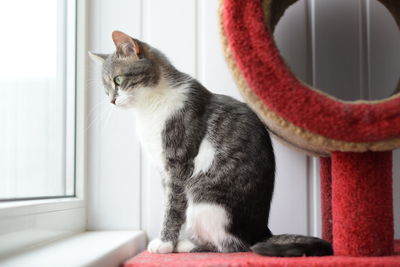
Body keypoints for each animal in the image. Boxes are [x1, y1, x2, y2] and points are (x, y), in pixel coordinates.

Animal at [89, 29, 332, 258]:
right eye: (105, 87)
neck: (149, 107)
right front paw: (170, 240)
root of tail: (261, 232)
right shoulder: (163, 171)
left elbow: (172, 207)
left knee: (231, 246)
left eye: (118, 80)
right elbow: (170, 203)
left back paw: (187, 245)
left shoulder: (178, 164)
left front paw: (165, 243)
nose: (111, 100)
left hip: (205, 199)